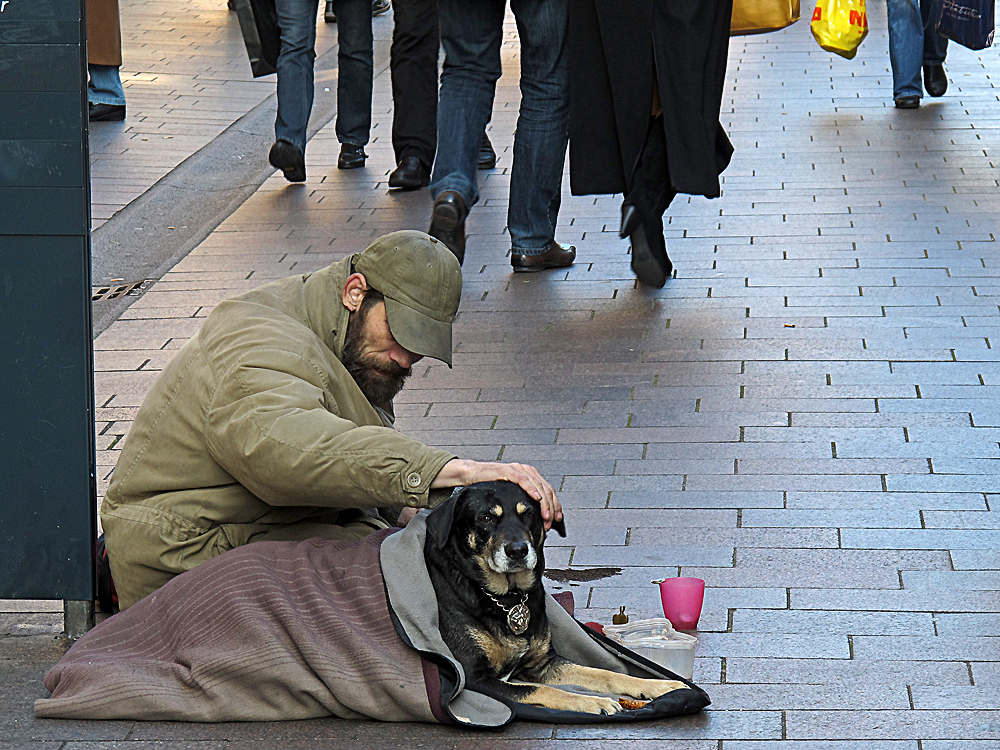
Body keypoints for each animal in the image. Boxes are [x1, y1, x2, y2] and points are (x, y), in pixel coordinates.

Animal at [422, 482, 688, 716]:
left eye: (528, 514)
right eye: (485, 518)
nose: (518, 551)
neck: (507, 598)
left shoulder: (543, 663)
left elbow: (604, 673)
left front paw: (659, 685)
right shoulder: (473, 678)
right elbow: (541, 690)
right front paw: (593, 702)